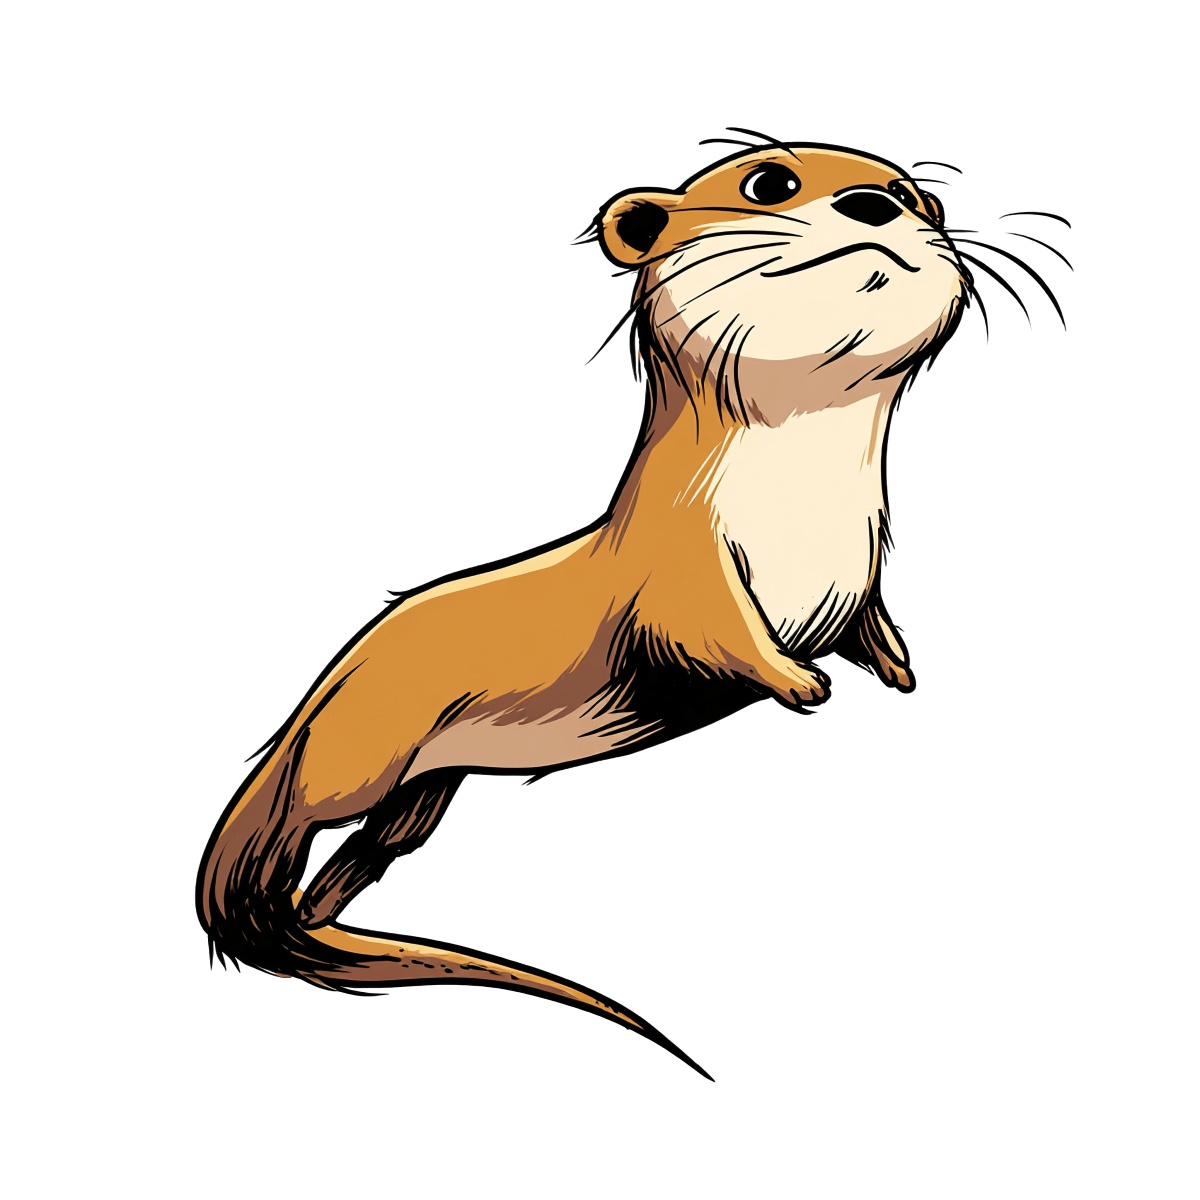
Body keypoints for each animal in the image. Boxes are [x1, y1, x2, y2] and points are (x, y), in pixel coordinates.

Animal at [197, 136, 977, 1078]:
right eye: (770, 182)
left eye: (924, 200)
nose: (878, 201)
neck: (804, 520)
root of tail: (321, 688)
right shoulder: (682, 574)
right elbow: (722, 635)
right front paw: (800, 682)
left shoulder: (863, 572)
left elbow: (871, 624)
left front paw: (898, 667)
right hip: (359, 752)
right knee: (303, 812)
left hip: (425, 787)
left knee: (376, 844)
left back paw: (315, 911)